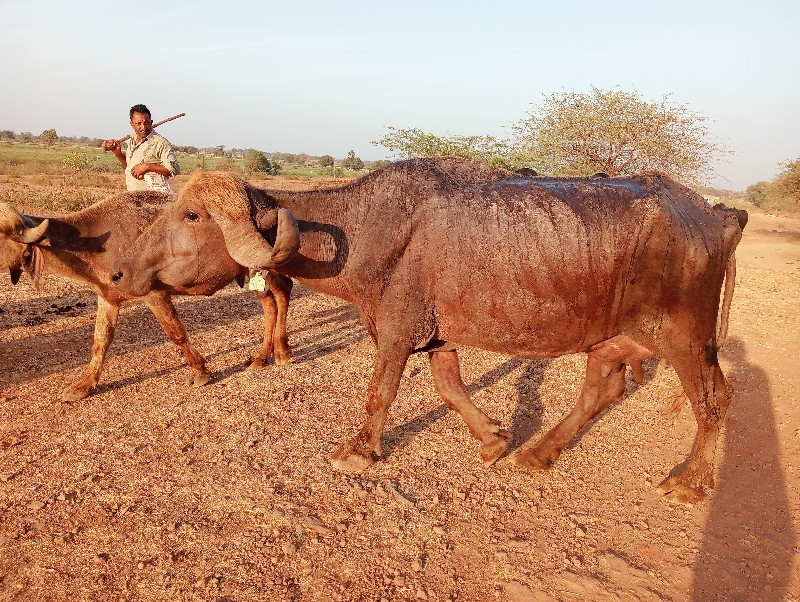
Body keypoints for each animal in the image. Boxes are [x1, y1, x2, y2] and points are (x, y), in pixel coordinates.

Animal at [0, 192, 294, 398]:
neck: (95, 241)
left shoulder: (154, 294)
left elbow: (176, 332)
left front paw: (200, 372)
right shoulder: (107, 298)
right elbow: (100, 341)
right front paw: (83, 386)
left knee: (282, 293)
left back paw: (281, 351)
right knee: (270, 304)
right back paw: (261, 357)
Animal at [112, 156, 752, 502]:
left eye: (191, 215)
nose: (120, 271)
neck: (365, 228)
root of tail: (716, 212)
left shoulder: (396, 331)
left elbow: (380, 392)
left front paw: (358, 450)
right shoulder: (434, 336)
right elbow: (448, 386)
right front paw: (494, 439)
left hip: (687, 339)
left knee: (715, 400)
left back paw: (692, 480)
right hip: (612, 338)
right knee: (603, 388)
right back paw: (538, 453)